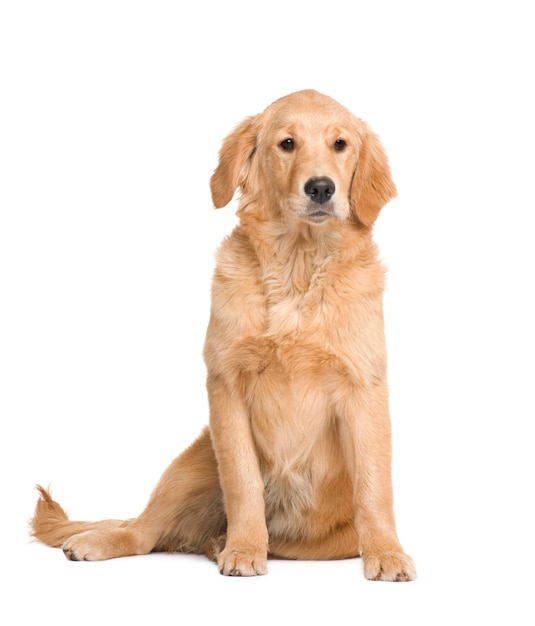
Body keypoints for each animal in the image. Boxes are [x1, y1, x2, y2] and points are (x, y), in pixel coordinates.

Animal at [31, 89, 418, 580]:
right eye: (287, 143)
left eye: (340, 145)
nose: (321, 188)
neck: (298, 265)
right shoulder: (226, 386)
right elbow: (242, 481)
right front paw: (245, 548)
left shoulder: (363, 388)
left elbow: (374, 486)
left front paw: (387, 553)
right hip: (189, 466)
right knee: (142, 530)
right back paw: (108, 540)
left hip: (328, 540)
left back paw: (219, 542)